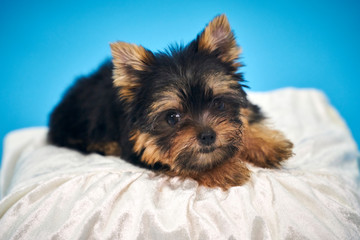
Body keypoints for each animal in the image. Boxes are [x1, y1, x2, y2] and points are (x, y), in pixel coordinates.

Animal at [48, 15, 292, 191]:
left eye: (219, 105)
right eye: (173, 117)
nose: (208, 136)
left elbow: (246, 121)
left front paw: (267, 144)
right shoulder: (141, 148)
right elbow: (181, 161)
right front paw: (223, 169)